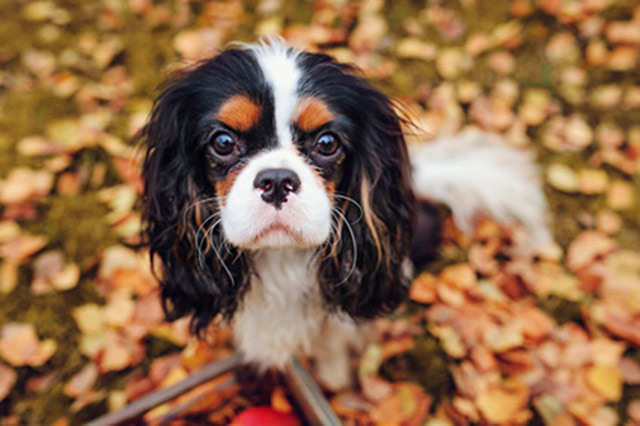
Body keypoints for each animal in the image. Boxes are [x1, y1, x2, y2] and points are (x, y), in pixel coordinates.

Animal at [141, 38, 552, 388]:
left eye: (327, 143)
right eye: (223, 142)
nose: (276, 180)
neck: (282, 258)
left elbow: (335, 343)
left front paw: (333, 380)